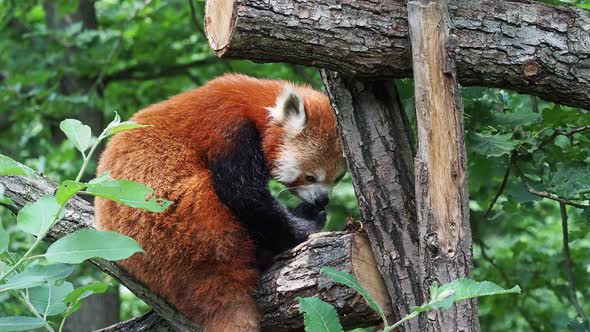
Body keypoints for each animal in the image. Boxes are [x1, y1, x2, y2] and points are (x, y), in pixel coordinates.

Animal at [95, 74, 350, 330]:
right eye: (310, 177)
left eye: (338, 178)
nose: (322, 200)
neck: (252, 101)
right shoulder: (226, 128)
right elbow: (243, 193)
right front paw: (304, 224)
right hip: (188, 217)